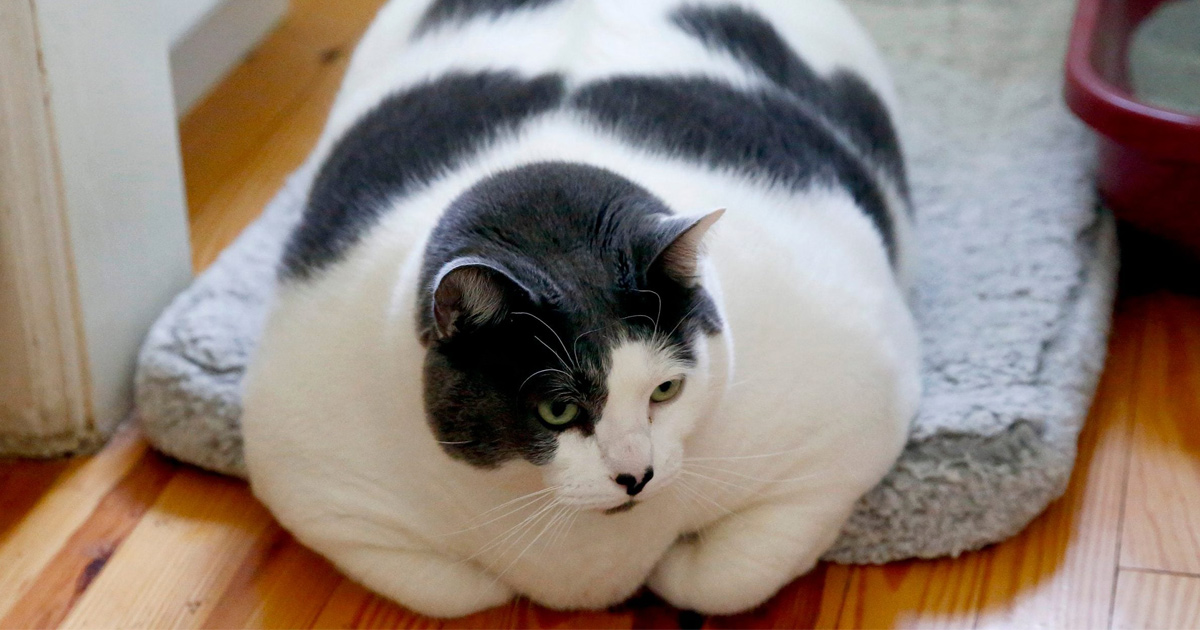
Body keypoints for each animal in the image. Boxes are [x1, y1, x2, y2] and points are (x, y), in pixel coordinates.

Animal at [241, 0, 916, 619]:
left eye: (666, 389)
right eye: (557, 409)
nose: (636, 475)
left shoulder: (844, 424)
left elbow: (727, 577)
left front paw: (673, 563)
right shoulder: (319, 482)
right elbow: (461, 590)